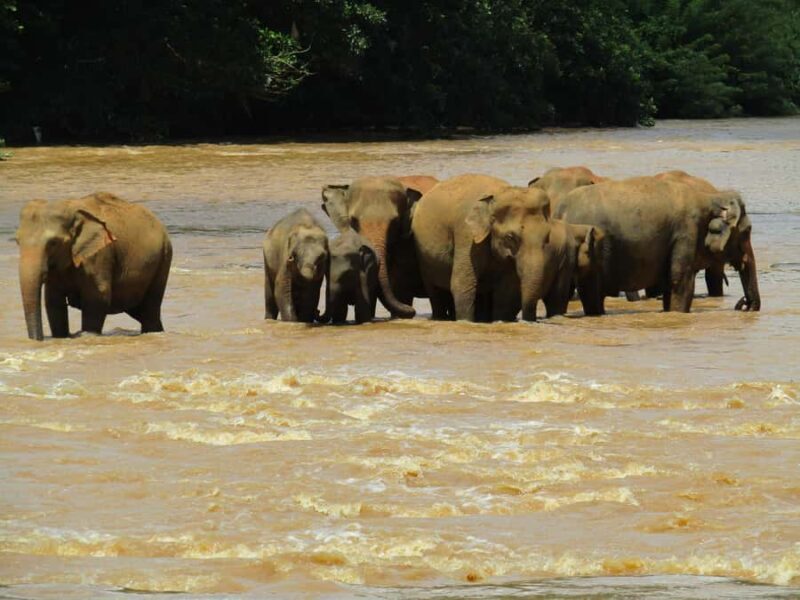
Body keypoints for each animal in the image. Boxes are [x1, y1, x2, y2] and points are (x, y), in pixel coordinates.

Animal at [16, 192, 172, 341]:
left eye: (53, 243)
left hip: (163, 260)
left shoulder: (99, 255)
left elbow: (98, 297)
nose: (38, 340)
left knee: (150, 311)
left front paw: (87, 335)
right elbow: (53, 301)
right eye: (17, 241)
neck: (72, 208)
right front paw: (60, 337)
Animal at [412, 174, 593, 322]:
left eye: (547, 237)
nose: (530, 320)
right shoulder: (466, 235)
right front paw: (466, 322)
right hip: (426, 261)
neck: (496, 195)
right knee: (435, 293)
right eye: (510, 237)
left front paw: (499, 321)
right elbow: (462, 284)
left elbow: (507, 289)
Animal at [555, 176, 761, 314]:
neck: (710, 197)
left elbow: (670, 283)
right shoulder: (686, 233)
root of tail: (560, 211)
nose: (744, 304)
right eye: (747, 231)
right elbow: (680, 282)